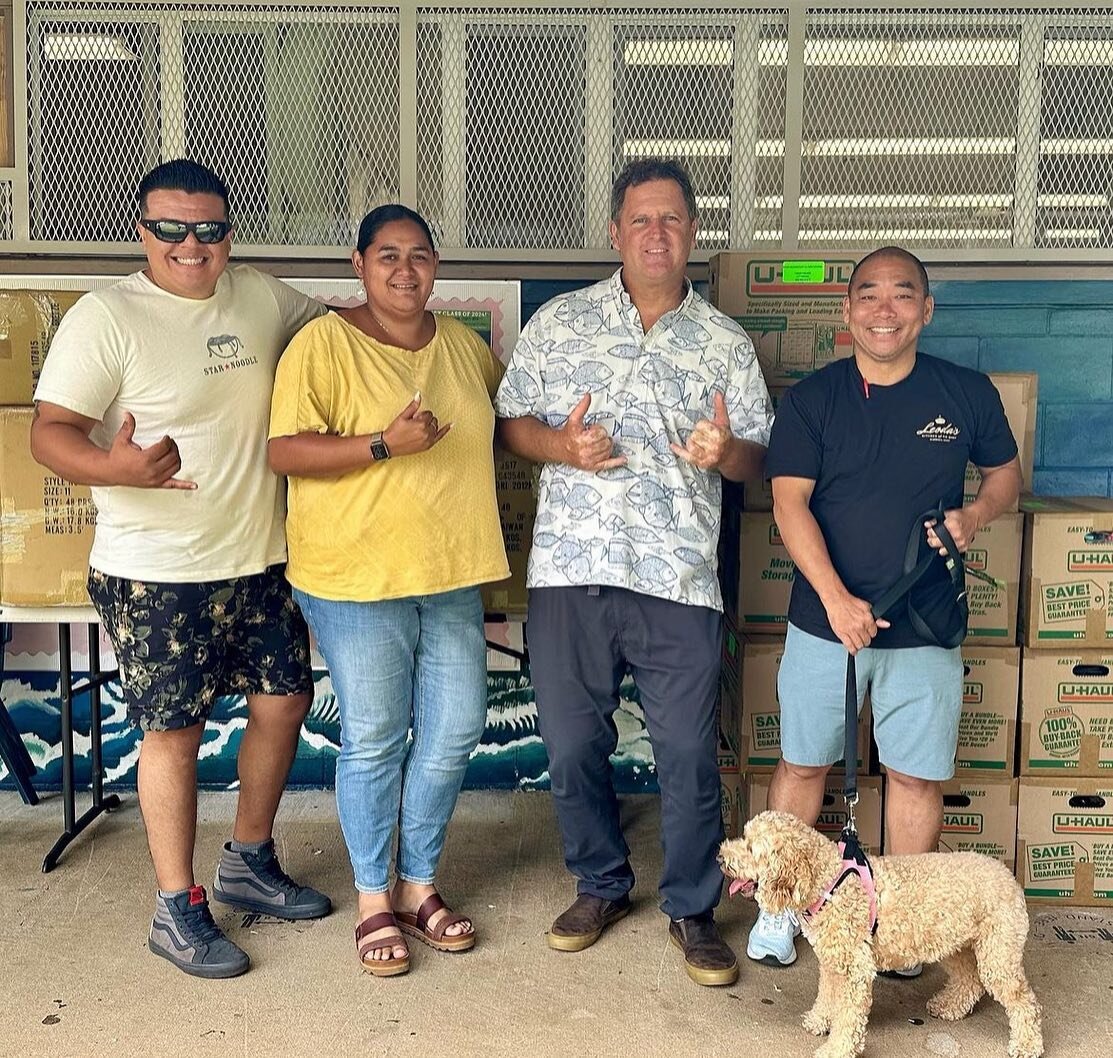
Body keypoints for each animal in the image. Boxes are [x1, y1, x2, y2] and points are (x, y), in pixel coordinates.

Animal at [721, 814, 1041, 1054]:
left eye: (751, 848)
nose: (720, 856)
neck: (830, 883)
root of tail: (1009, 877)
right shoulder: (832, 964)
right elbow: (827, 996)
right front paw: (819, 1020)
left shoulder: (855, 970)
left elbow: (848, 1017)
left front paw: (836, 1048)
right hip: (954, 944)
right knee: (970, 980)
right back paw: (949, 1006)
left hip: (998, 955)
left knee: (1024, 1001)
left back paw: (1027, 1044)